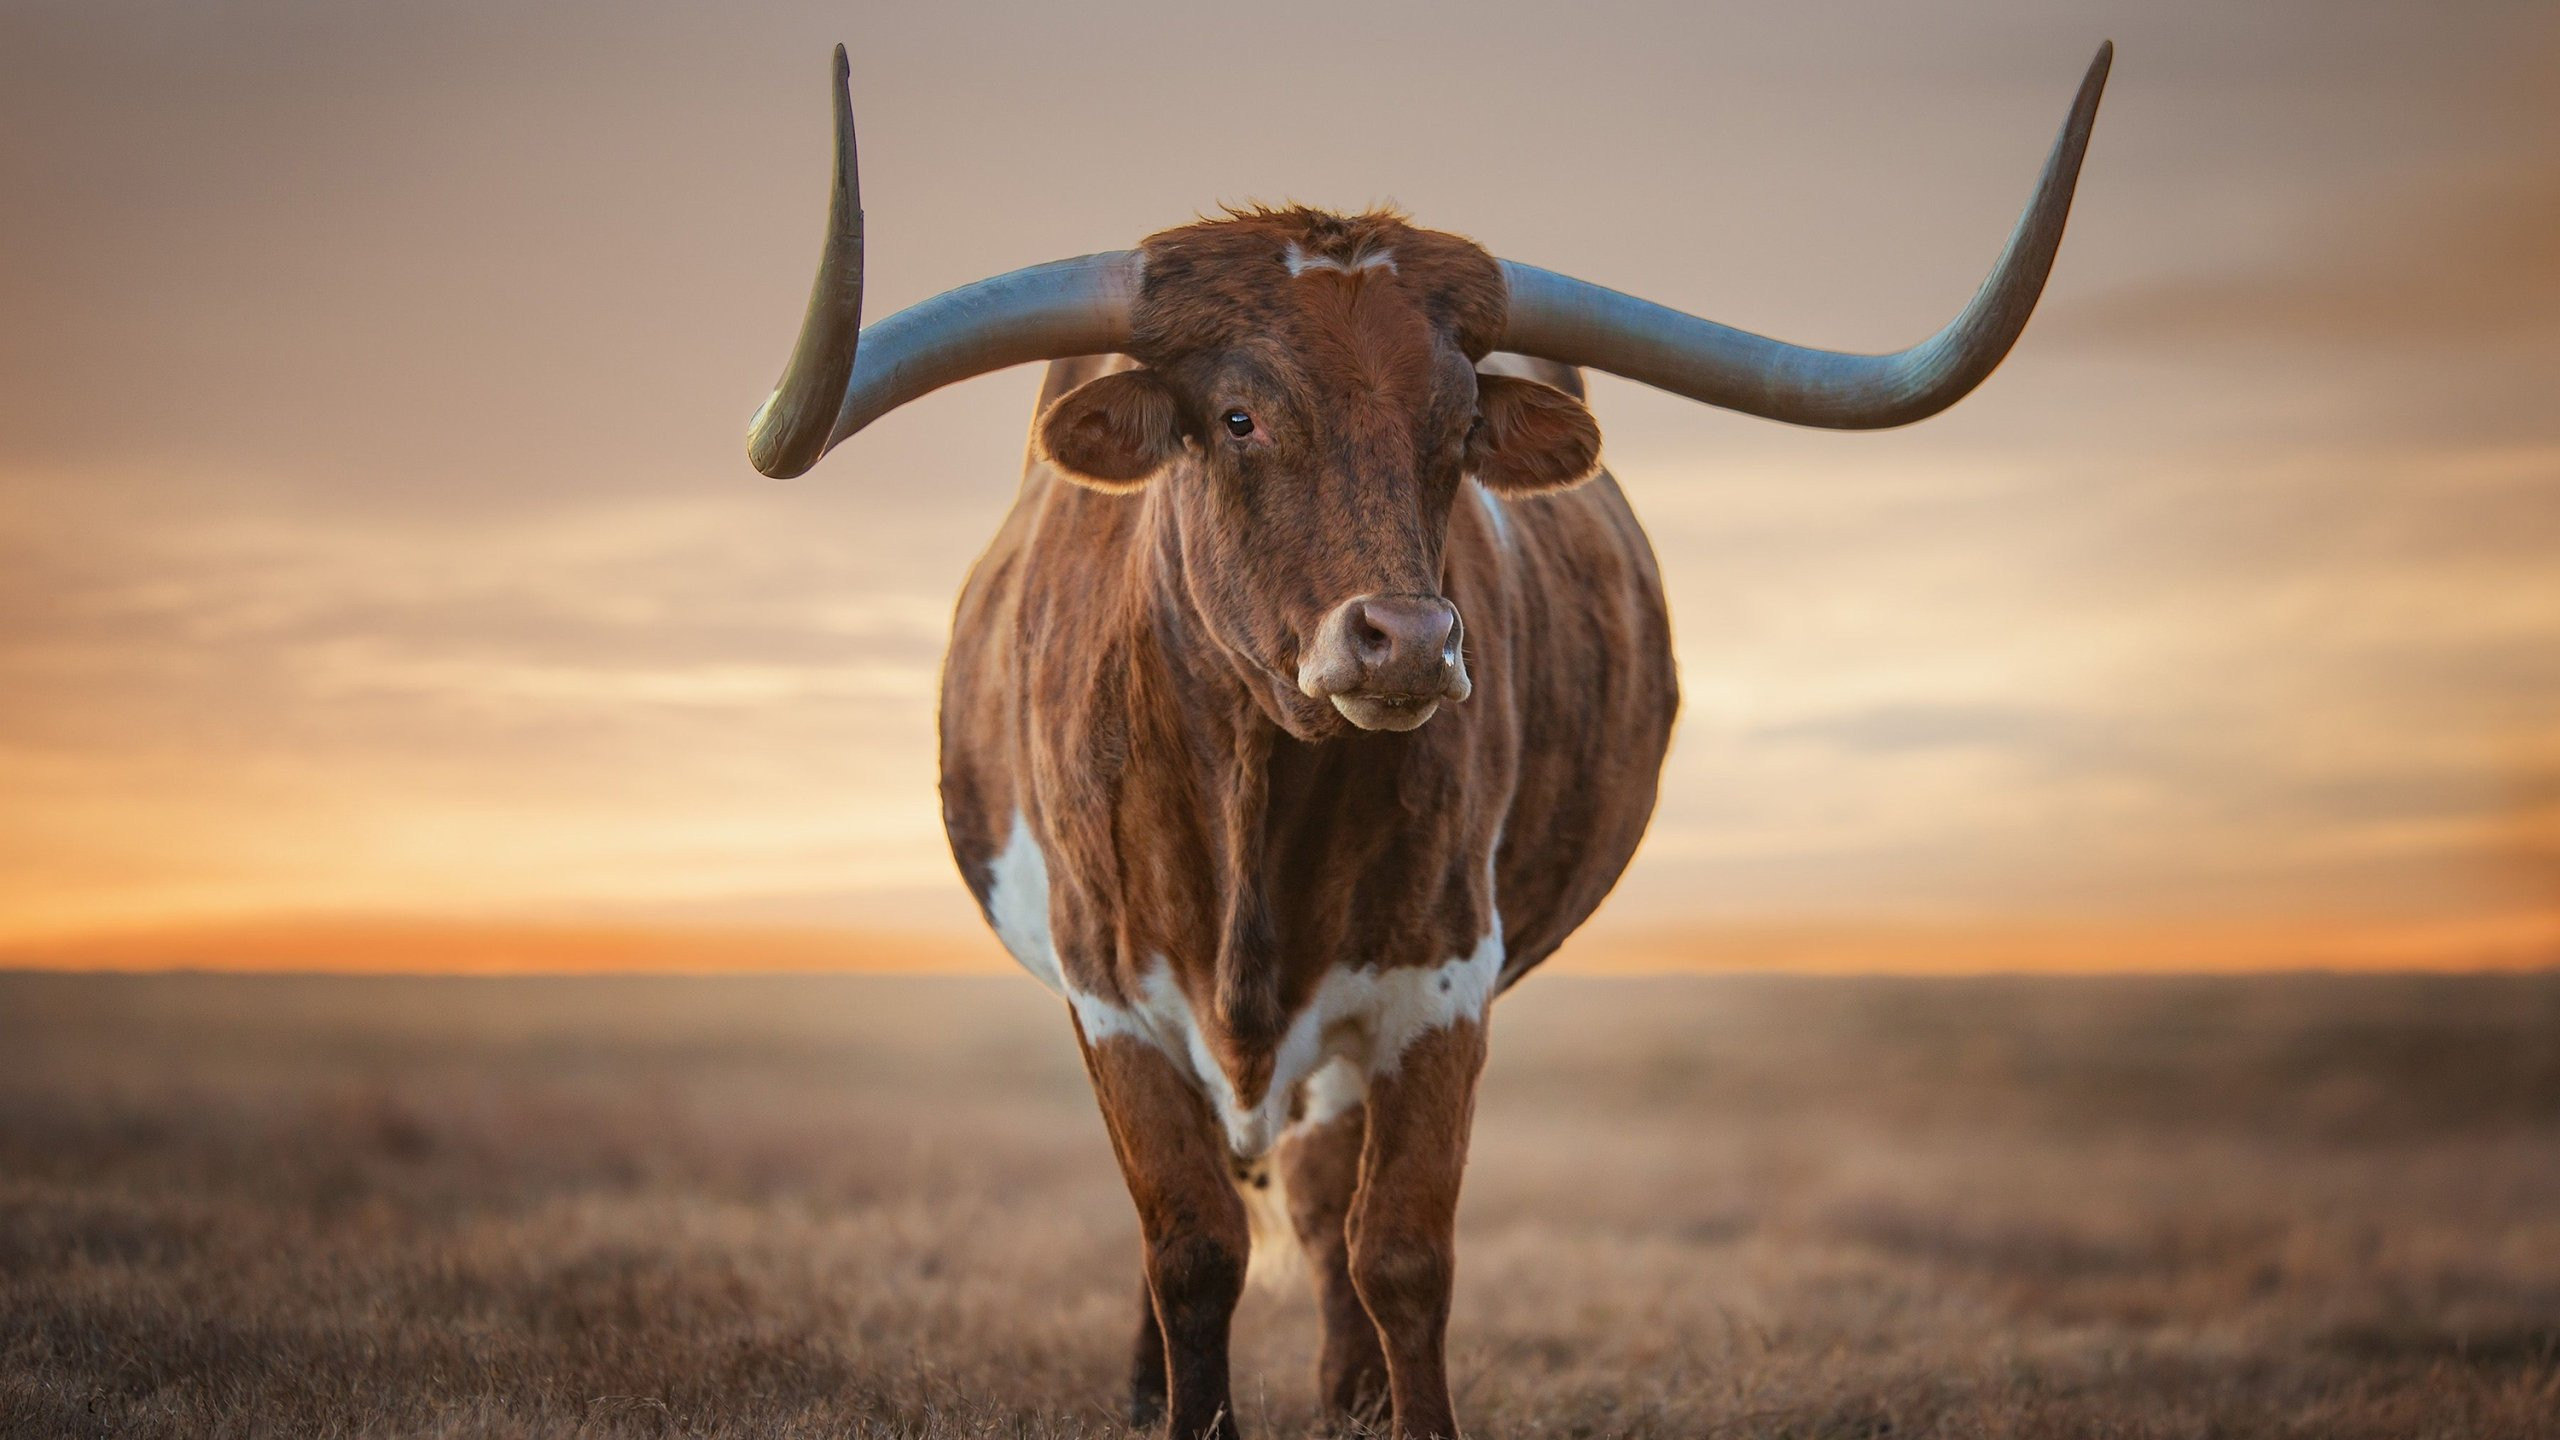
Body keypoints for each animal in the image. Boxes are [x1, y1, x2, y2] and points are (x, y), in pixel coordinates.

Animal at [746, 42, 2109, 1440]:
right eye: (1237, 417)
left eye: (1456, 430)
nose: (1403, 641)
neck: (1250, 793)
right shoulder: (1107, 991)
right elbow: (1189, 1247)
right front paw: (1184, 1408)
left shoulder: (1435, 985)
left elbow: (1397, 1252)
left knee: (1322, 1206)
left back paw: (1347, 1396)